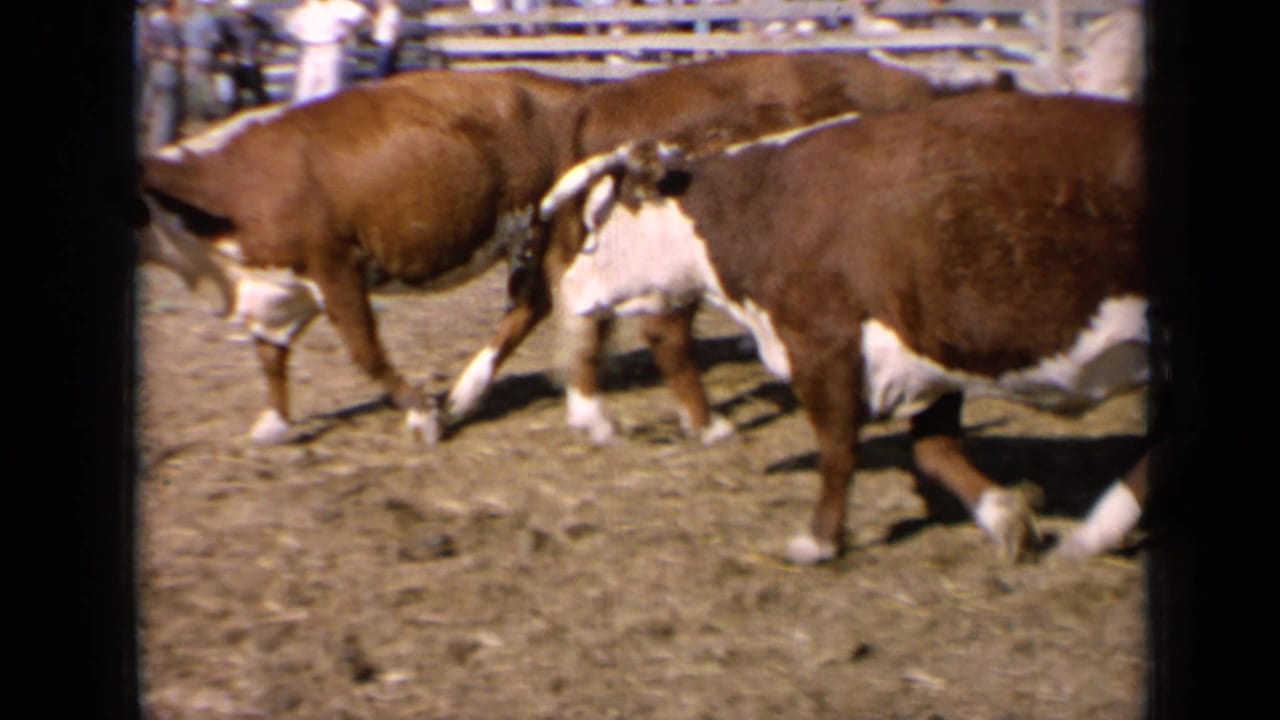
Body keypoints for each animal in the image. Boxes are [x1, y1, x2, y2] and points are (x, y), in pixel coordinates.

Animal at [139, 69, 585, 445]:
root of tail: (560, 86)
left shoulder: (336, 266)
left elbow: (365, 352)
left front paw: (423, 415)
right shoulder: (273, 289)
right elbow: (270, 355)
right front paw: (275, 422)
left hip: (535, 228)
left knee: (529, 305)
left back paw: (466, 391)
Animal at [538, 90, 1149, 563]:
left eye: (597, 223)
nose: (568, 289)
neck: (765, 204)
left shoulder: (824, 344)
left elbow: (837, 451)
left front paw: (818, 541)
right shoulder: (926, 340)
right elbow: (935, 452)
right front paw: (1007, 516)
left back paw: (1096, 532)